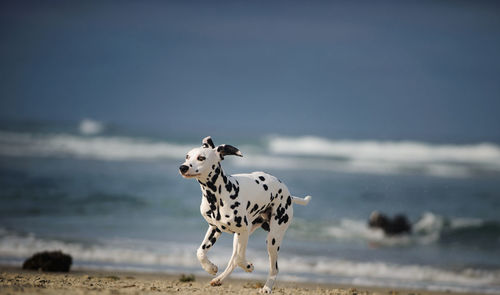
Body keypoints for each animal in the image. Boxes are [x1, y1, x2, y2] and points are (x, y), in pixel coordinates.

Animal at [180, 136, 310, 294]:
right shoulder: (215, 229)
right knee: (232, 261)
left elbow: (239, 258)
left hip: (272, 240)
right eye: (187, 156)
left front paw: (248, 266)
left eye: (201, 158)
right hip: (240, 238)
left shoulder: (244, 230)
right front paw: (210, 268)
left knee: (274, 268)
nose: (183, 167)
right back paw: (219, 279)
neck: (216, 196)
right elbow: (200, 252)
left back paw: (266, 287)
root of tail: (289, 195)